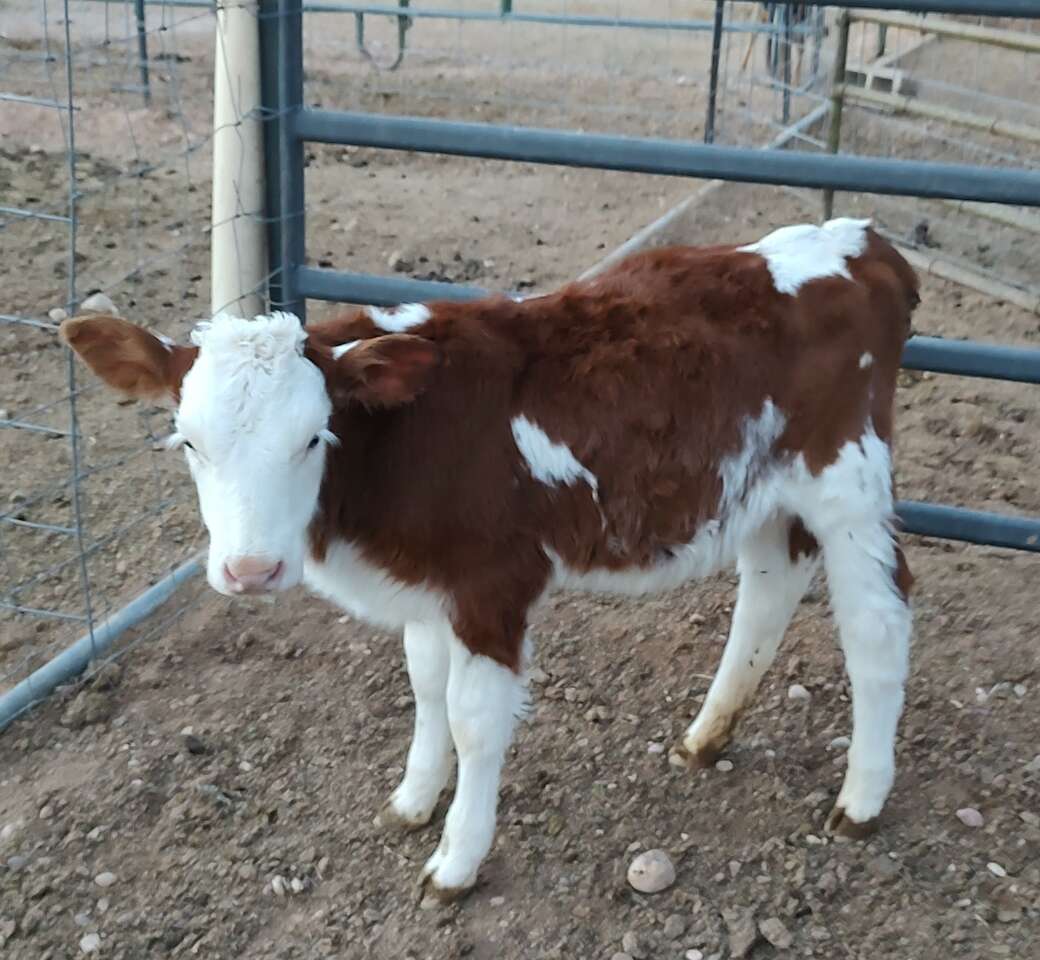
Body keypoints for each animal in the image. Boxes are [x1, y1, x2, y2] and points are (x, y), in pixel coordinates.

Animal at [61, 216, 918, 906]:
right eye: (188, 442)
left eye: (312, 437)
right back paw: (707, 735)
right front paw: (413, 798)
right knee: (769, 587)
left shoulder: (491, 583)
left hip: (847, 478)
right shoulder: (426, 581)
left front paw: (457, 860)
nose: (250, 571)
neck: (402, 438)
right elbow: (423, 687)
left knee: (877, 623)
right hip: (765, 492)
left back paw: (862, 797)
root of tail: (863, 241)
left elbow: (473, 721)